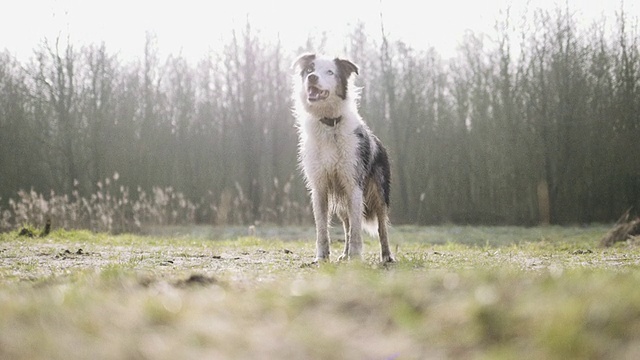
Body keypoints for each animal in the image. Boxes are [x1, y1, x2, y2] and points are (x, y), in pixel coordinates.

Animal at [292, 52, 392, 262]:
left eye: (330, 72)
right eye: (309, 69)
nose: (312, 77)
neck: (330, 124)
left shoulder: (354, 185)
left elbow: (356, 229)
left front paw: (356, 257)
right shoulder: (319, 187)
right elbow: (323, 229)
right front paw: (321, 258)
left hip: (378, 192)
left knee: (381, 226)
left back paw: (386, 256)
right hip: (341, 201)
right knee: (346, 225)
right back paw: (344, 255)